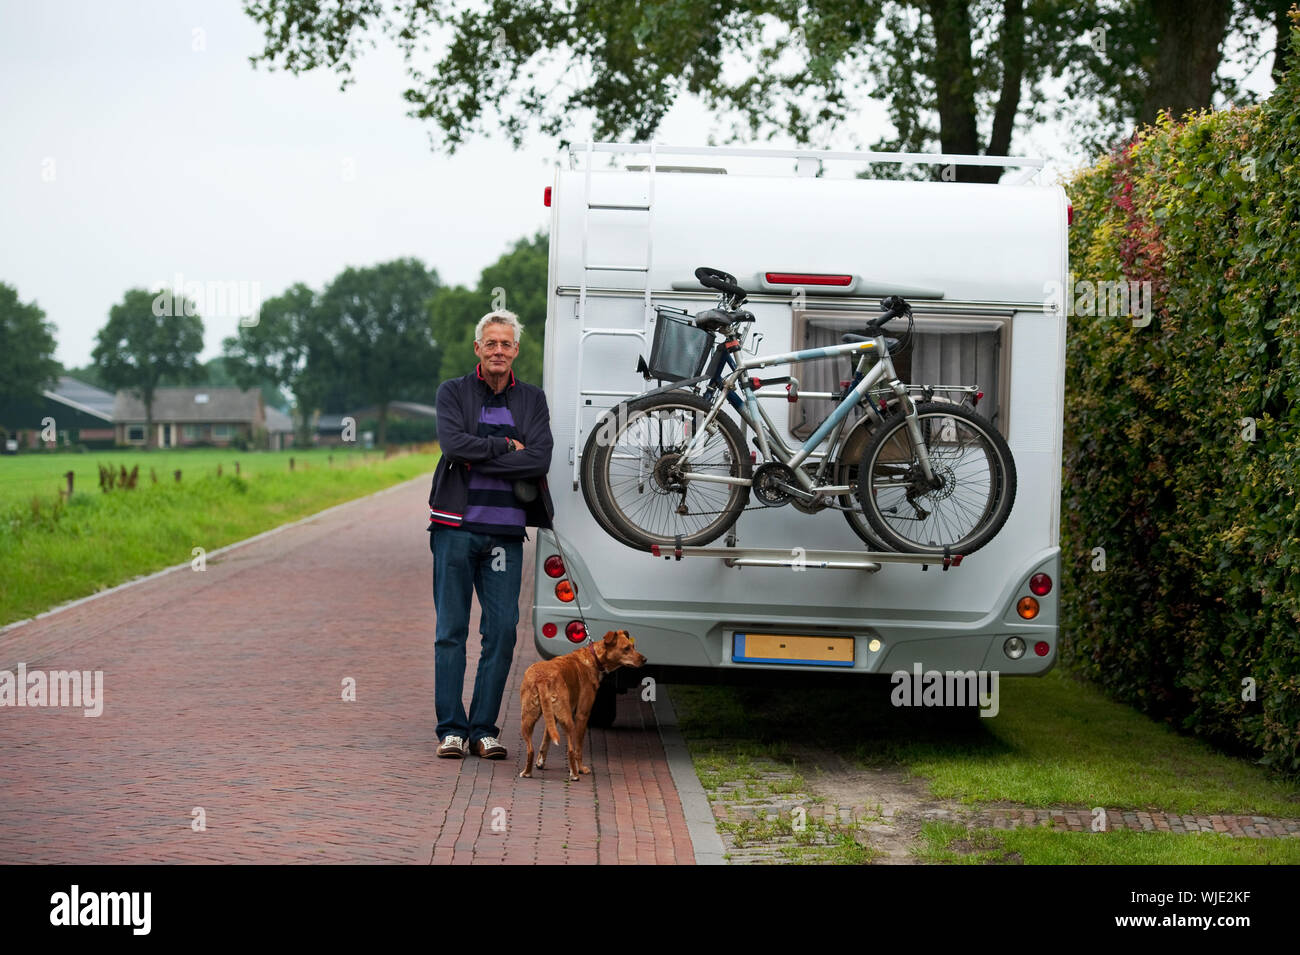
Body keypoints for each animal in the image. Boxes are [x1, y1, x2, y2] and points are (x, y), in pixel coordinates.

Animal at [514, 631, 642, 779]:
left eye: (633, 646)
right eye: (626, 648)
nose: (645, 659)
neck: (593, 657)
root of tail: (542, 678)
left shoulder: (552, 716)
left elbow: (546, 738)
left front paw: (540, 763)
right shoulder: (582, 714)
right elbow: (578, 749)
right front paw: (581, 768)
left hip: (527, 719)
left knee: (531, 749)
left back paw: (527, 772)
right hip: (568, 720)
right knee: (570, 750)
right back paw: (575, 774)